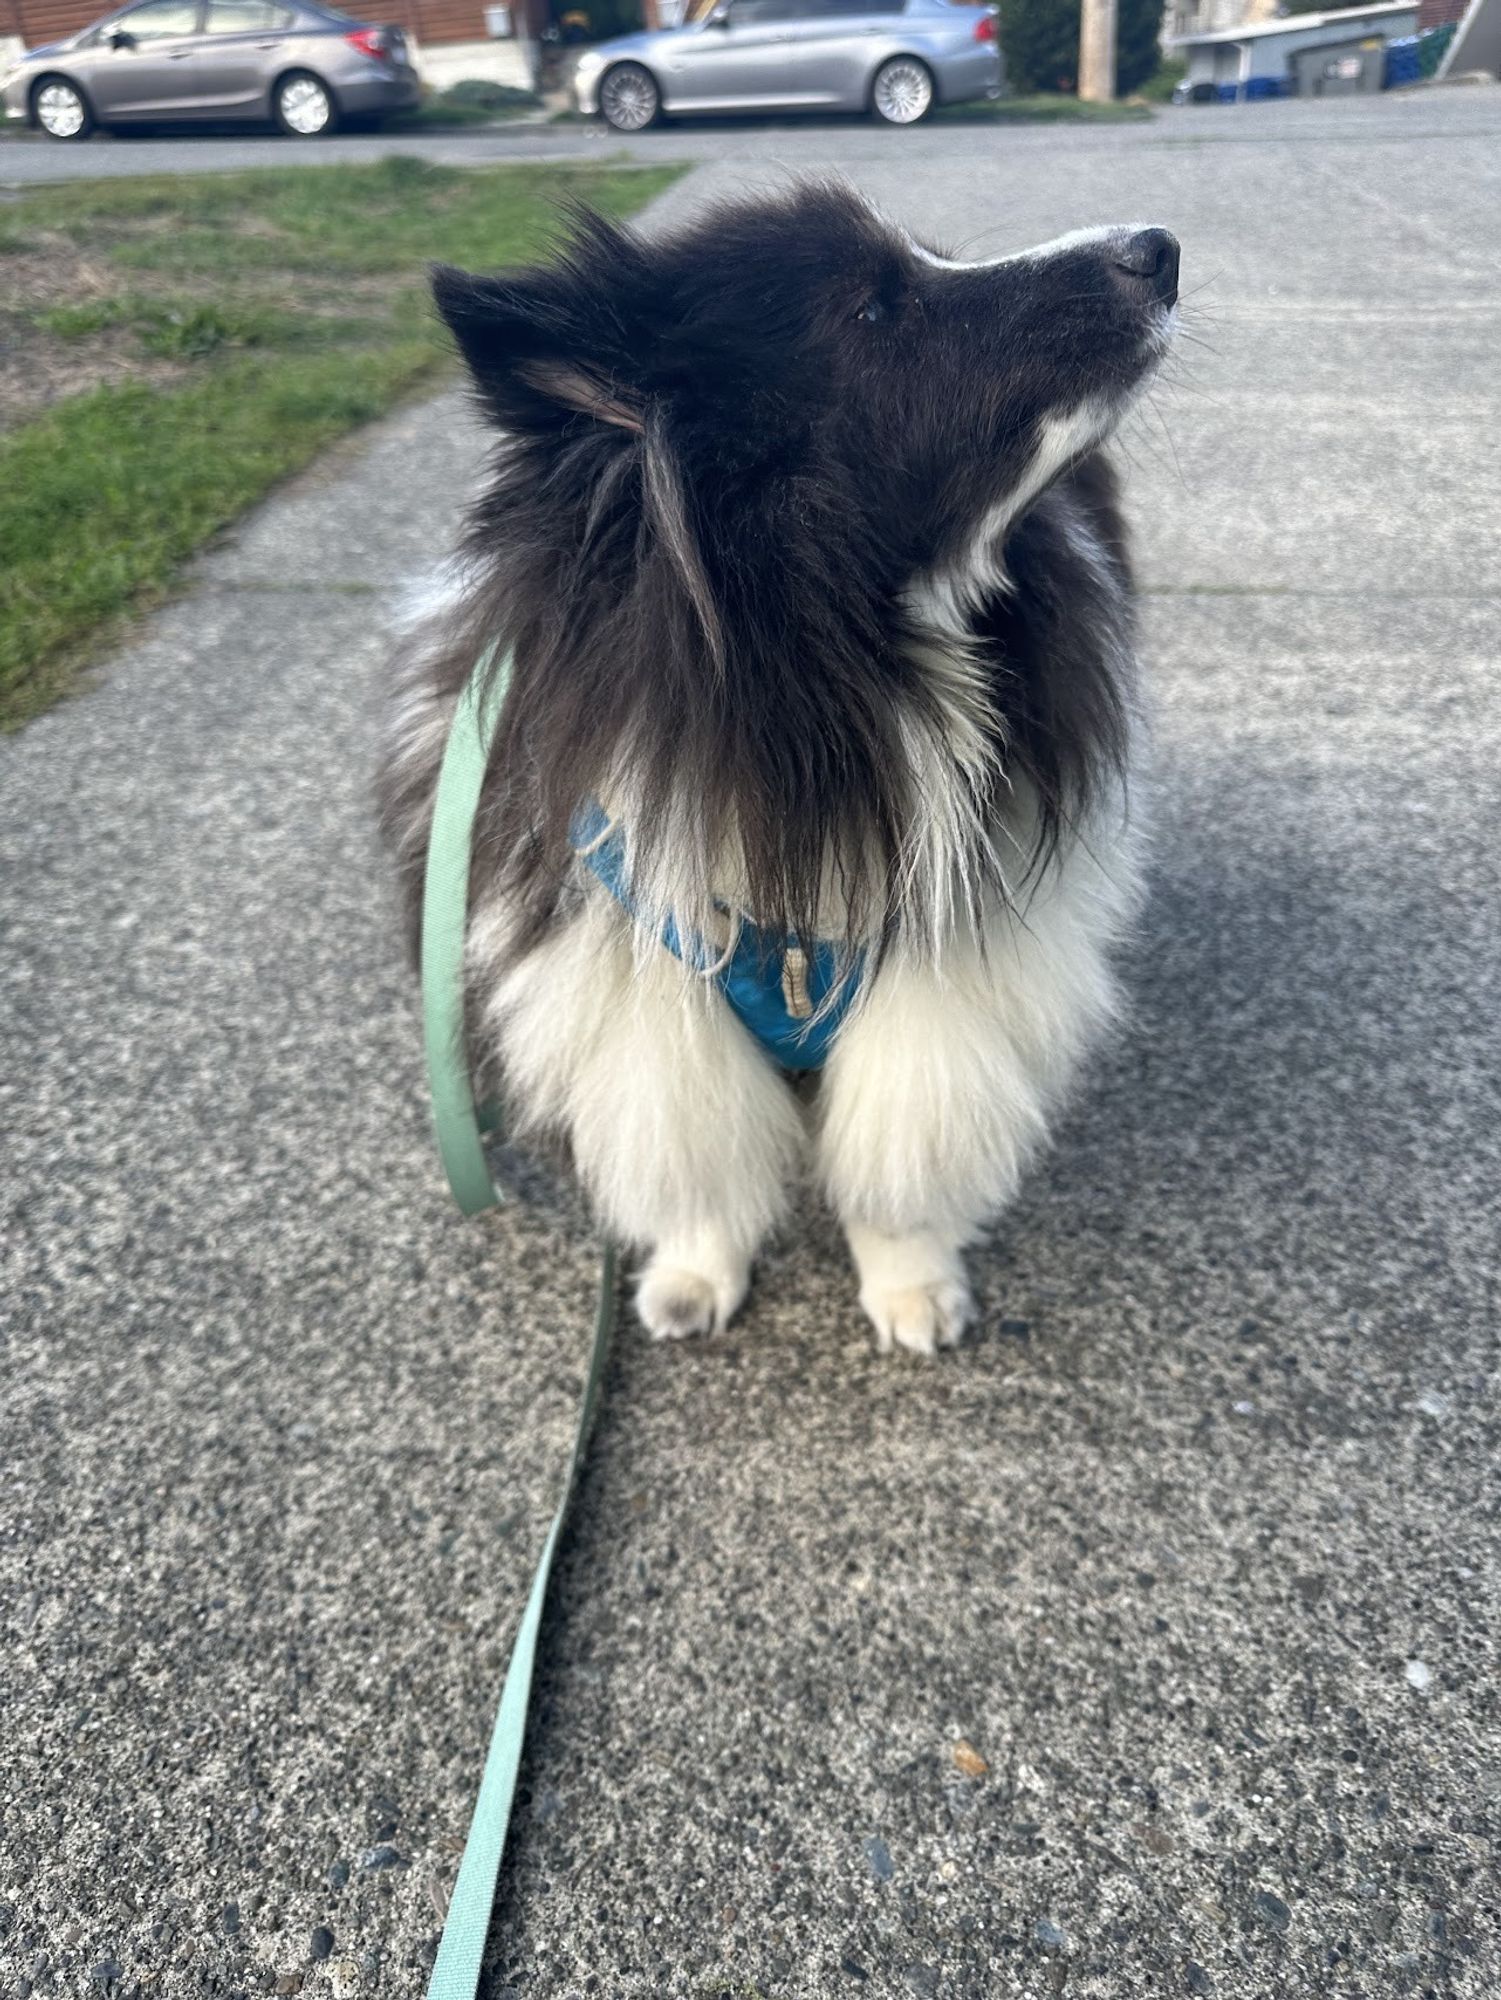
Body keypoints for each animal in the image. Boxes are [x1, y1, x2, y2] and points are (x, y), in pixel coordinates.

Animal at [382, 184, 1184, 1360]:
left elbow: (898, 1146)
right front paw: (692, 1273)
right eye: (874, 311)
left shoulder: (932, 967)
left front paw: (910, 1283)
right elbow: (695, 1140)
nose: (1157, 248)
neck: (836, 682)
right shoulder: (646, 988)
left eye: (934, 264)